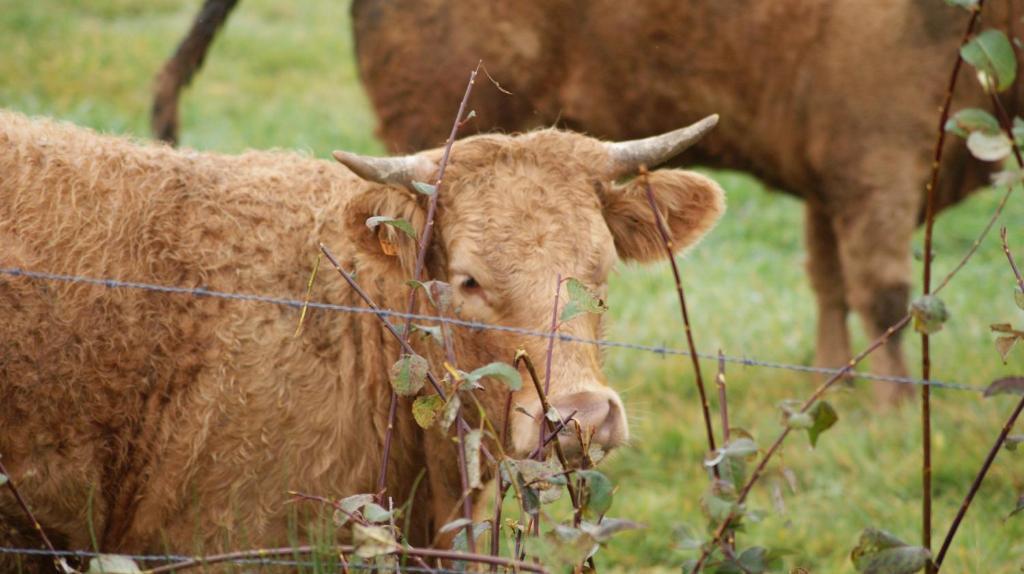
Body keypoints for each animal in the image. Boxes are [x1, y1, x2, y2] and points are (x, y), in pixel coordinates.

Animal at [350, 1, 1024, 403]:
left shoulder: (830, 185)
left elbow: (830, 285)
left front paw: (838, 384)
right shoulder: (875, 167)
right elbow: (885, 296)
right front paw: (899, 408)